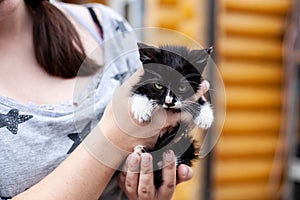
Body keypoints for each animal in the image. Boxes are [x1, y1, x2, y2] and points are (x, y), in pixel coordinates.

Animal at [131, 43, 213, 188]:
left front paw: (205, 115)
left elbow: (197, 98)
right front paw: (141, 109)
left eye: (182, 87)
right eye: (158, 86)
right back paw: (142, 151)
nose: (169, 102)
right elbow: (140, 89)